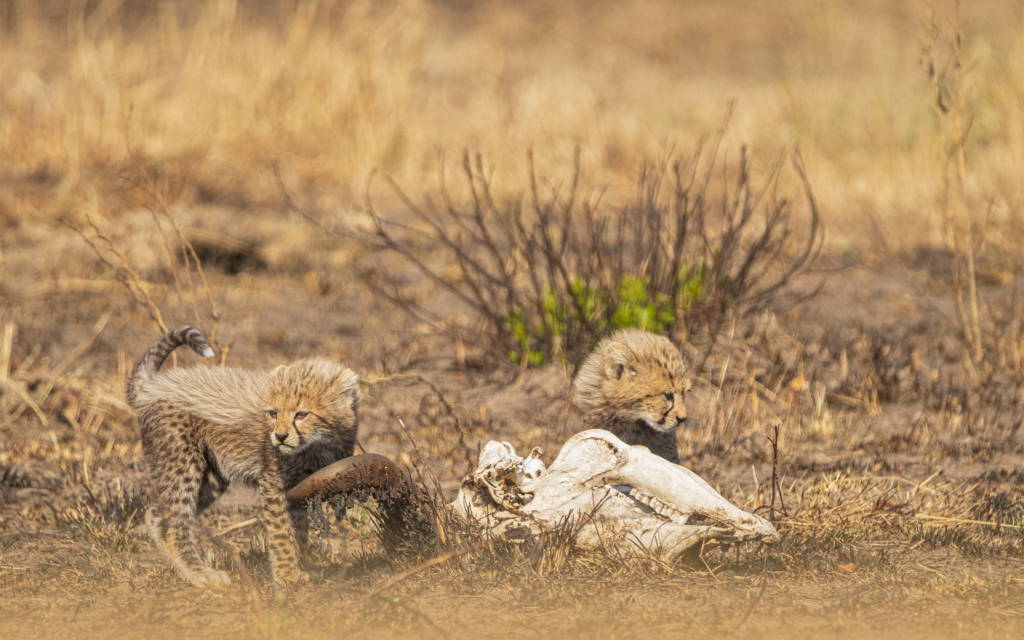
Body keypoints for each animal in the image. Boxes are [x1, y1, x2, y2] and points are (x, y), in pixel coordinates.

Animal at [126, 326, 360, 589]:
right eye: (273, 413)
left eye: (301, 414)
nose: (279, 436)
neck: (318, 445)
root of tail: (156, 384)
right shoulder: (274, 483)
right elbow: (282, 530)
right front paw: (288, 574)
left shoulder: (302, 486)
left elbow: (298, 527)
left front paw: (302, 566)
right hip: (181, 463)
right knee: (171, 522)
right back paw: (199, 573)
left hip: (212, 476)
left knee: (157, 515)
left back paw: (185, 569)